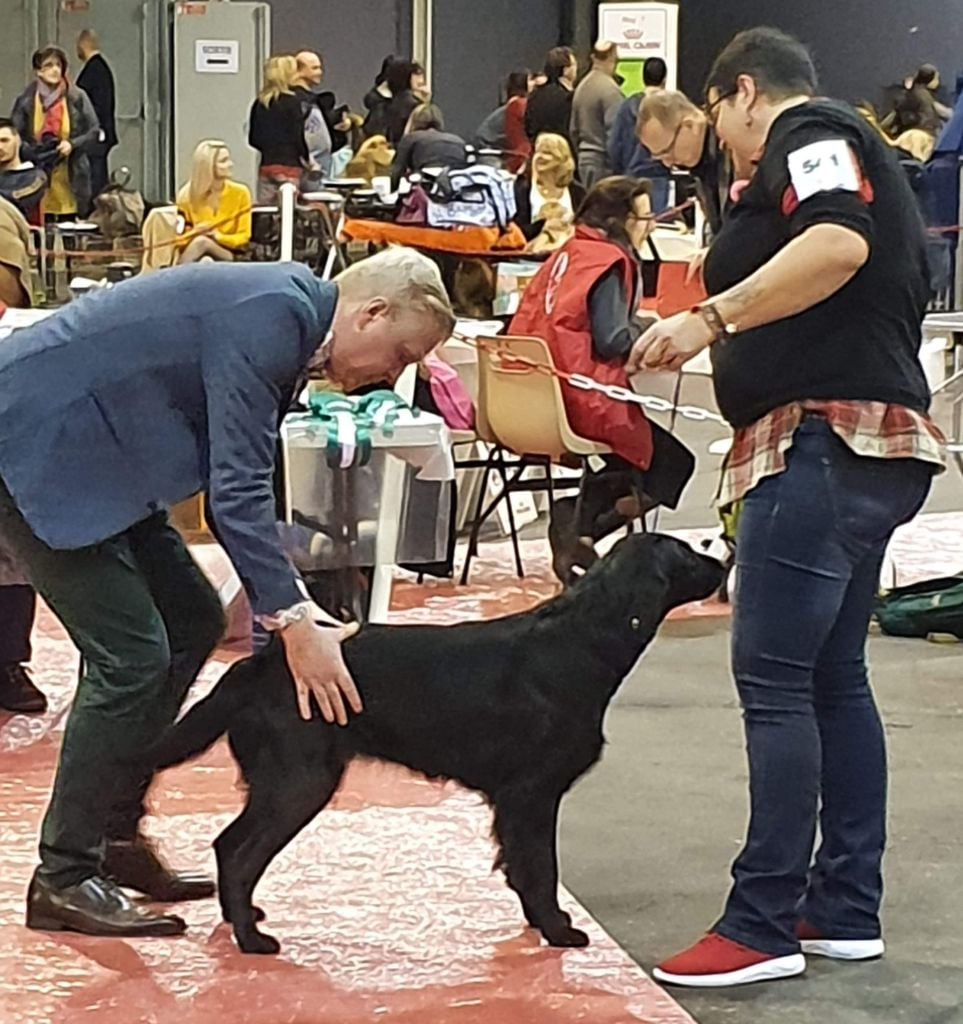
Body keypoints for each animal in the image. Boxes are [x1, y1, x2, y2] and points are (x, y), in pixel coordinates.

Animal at [152, 532, 721, 954]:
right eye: (688, 553)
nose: (721, 561)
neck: (581, 641)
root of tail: (261, 664)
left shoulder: (518, 799)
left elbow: (522, 867)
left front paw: (543, 923)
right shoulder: (532, 792)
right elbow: (541, 867)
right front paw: (559, 931)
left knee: (229, 847)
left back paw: (242, 918)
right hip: (300, 781)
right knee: (238, 851)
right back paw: (252, 939)